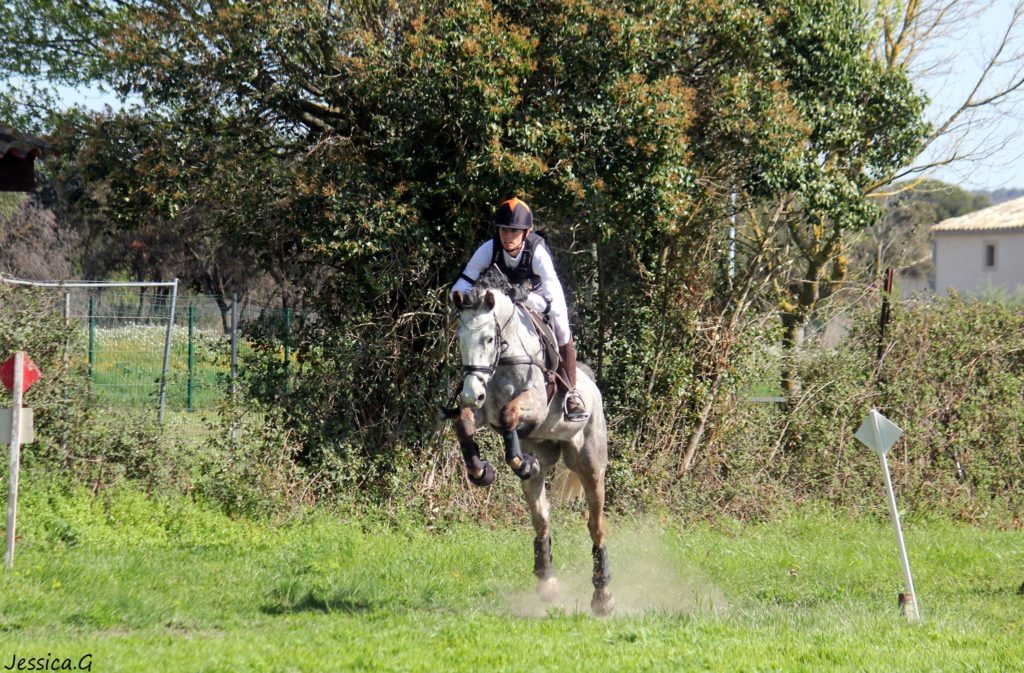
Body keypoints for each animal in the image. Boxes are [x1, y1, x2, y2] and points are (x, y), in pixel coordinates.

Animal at [452, 272, 610, 614]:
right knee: (542, 521)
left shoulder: (534, 404)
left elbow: (510, 413)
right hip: (543, 458)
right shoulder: (485, 409)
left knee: (596, 526)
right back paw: (547, 584)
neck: (506, 357)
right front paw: (481, 471)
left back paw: (603, 596)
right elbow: (465, 421)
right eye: (459, 339)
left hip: (590, 465)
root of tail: (590, 383)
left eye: (489, 339)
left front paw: (515, 460)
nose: (470, 392)